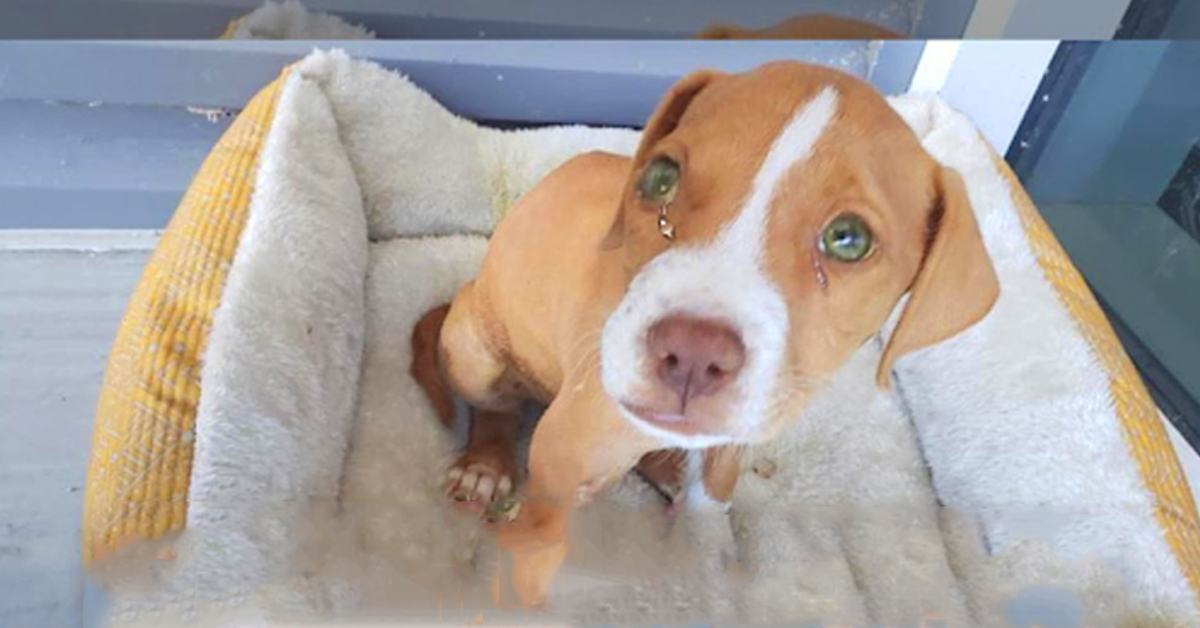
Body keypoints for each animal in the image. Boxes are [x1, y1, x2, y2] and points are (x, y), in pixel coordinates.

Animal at [410, 61, 993, 607]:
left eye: (848, 239)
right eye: (660, 179)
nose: (691, 354)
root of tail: (467, 287)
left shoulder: (729, 442)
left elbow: (710, 504)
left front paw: (707, 569)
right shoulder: (560, 455)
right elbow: (537, 550)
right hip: (476, 350)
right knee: (497, 407)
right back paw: (484, 466)